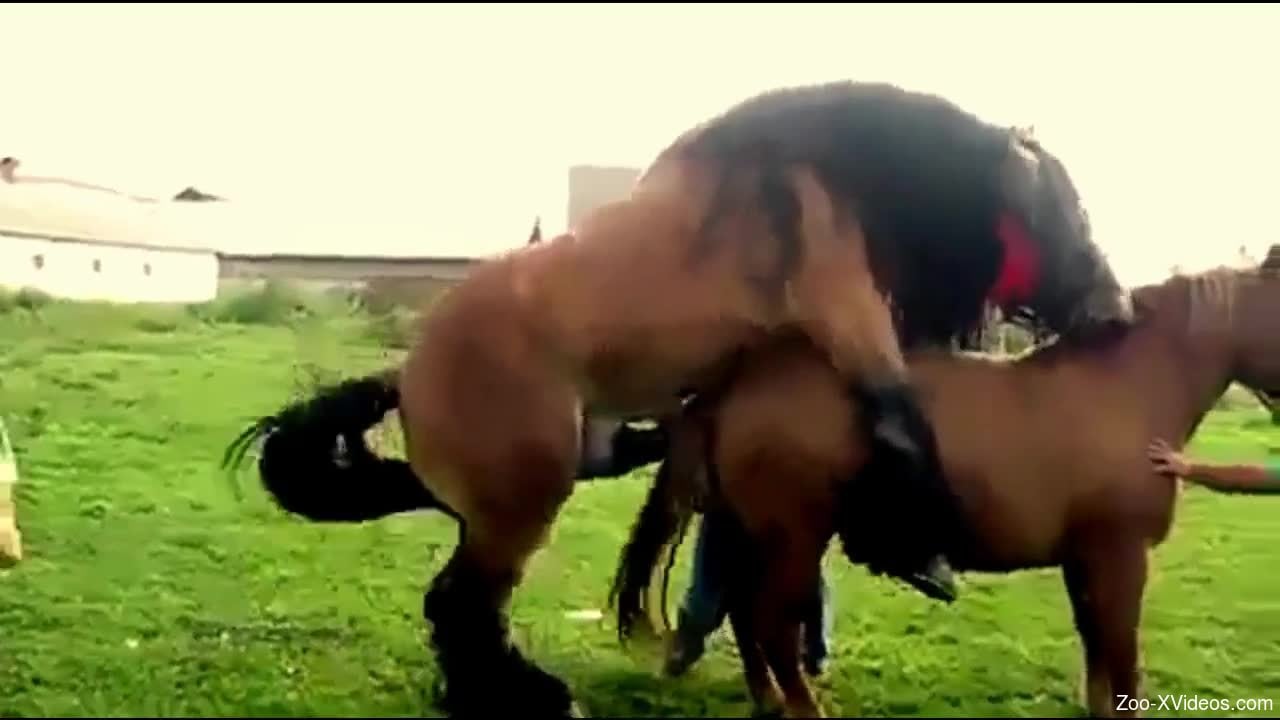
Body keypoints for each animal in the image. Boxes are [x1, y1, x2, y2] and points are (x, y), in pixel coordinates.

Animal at [221, 80, 1135, 717]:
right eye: (1064, 210)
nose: (1117, 312)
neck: (819, 179)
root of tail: (408, 376)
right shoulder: (853, 324)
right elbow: (905, 425)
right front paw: (923, 550)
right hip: (525, 500)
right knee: (462, 603)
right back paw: (527, 696)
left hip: (560, 470)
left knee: (469, 601)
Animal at [610, 253, 1280, 718]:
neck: (1121, 391)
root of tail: (737, 381)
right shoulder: (1121, 557)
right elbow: (1123, 659)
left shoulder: (1086, 560)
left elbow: (1097, 650)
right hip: (793, 538)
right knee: (772, 625)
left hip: (751, 531)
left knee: (746, 616)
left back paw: (770, 700)